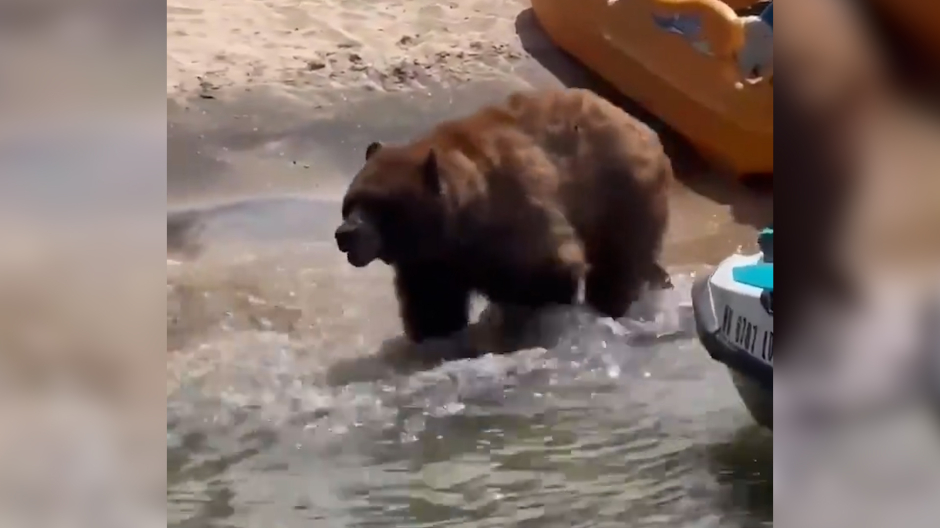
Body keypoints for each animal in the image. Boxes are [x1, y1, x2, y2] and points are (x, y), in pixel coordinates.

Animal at [334, 88, 672, 344]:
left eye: (380, 206)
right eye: (349, 203)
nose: (345, 234)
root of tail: (645, 130)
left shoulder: (516, 217)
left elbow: (548, 269)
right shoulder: (430, 260)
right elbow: (433, 302)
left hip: (621, 195)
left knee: (618, 262)